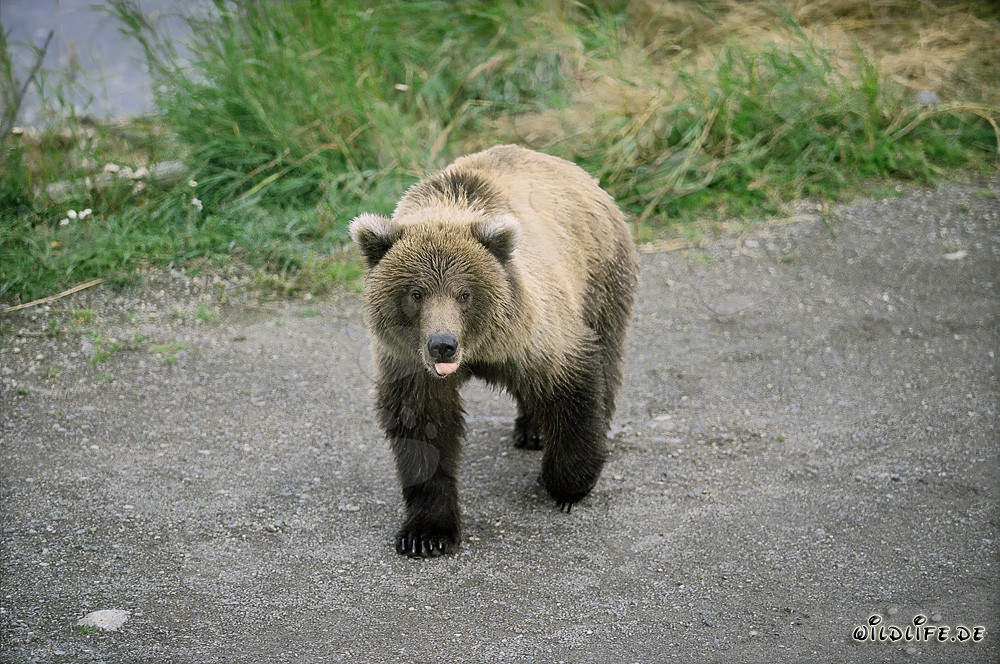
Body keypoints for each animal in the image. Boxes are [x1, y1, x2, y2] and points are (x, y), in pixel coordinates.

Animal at [350, 144, 638, 557]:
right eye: (416, 293)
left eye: (464, 293)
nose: (442, 345)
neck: (478, 350)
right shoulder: (408, 363)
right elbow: (423, 429)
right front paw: (425, 533)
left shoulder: (531, 331)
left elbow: (570, 381)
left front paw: (566, 485)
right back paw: (532, 429)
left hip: (600, 275)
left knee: (606, 354)